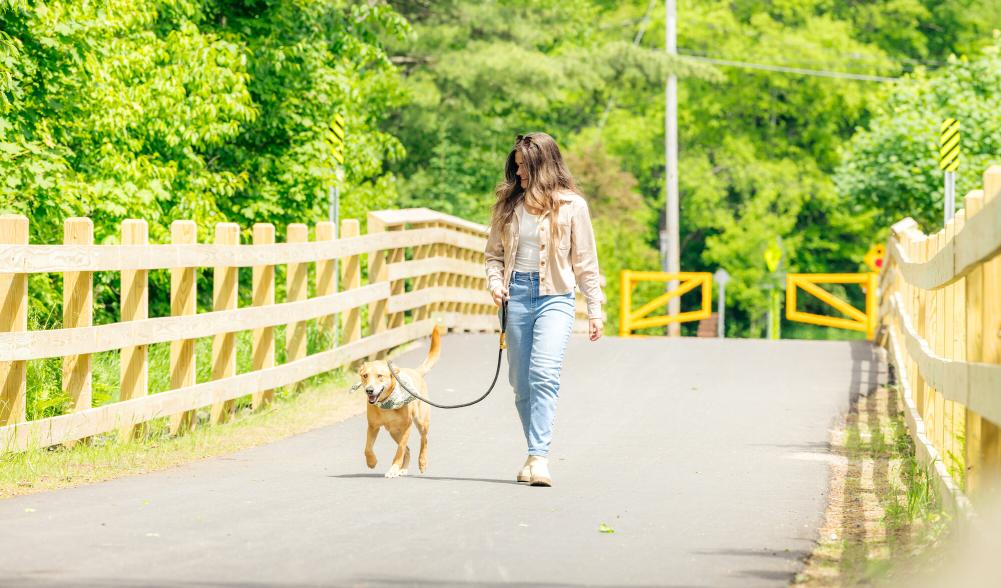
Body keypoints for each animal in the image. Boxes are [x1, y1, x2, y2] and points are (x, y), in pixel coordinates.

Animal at [356, 326, 442, 478]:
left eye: (379, 376)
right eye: (365, 375)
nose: (369, 390)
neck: (386, 404)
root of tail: (416, 372)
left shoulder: (407, 426)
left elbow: (400, 449)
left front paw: (393, 468)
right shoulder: (372, 427)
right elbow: (367, 448)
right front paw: (371, 462)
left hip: (421, 422)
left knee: (423, 440)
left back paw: (422, 462)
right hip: (394, 431)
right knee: (408, 449)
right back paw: (402, 469)